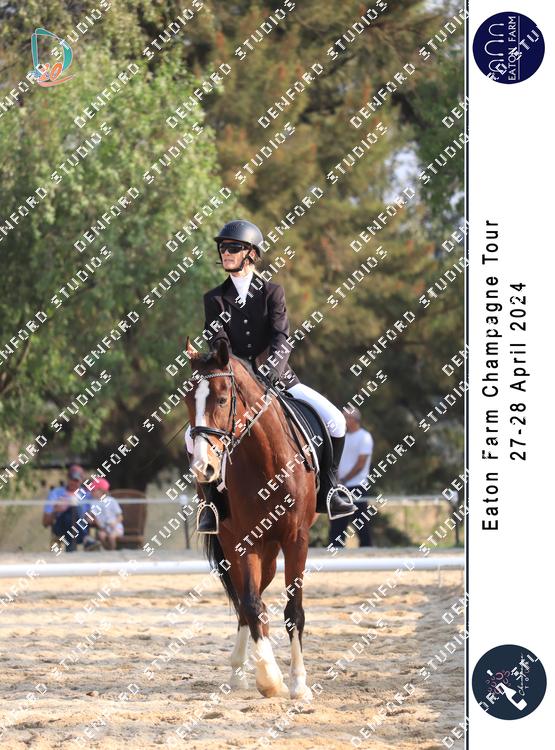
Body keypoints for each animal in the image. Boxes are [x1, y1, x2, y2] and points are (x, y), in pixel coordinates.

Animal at [182, 337, 318, 700]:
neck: (266, 462)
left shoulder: (296, 539)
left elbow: (293, 610)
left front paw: (299, 683)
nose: (203, 468)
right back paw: (239, 671)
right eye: (187, 400)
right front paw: (270, 679)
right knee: (247, 601)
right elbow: (253, 604)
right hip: (243, 546)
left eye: (222, 398)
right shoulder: (244, 542)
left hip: (270, 551)